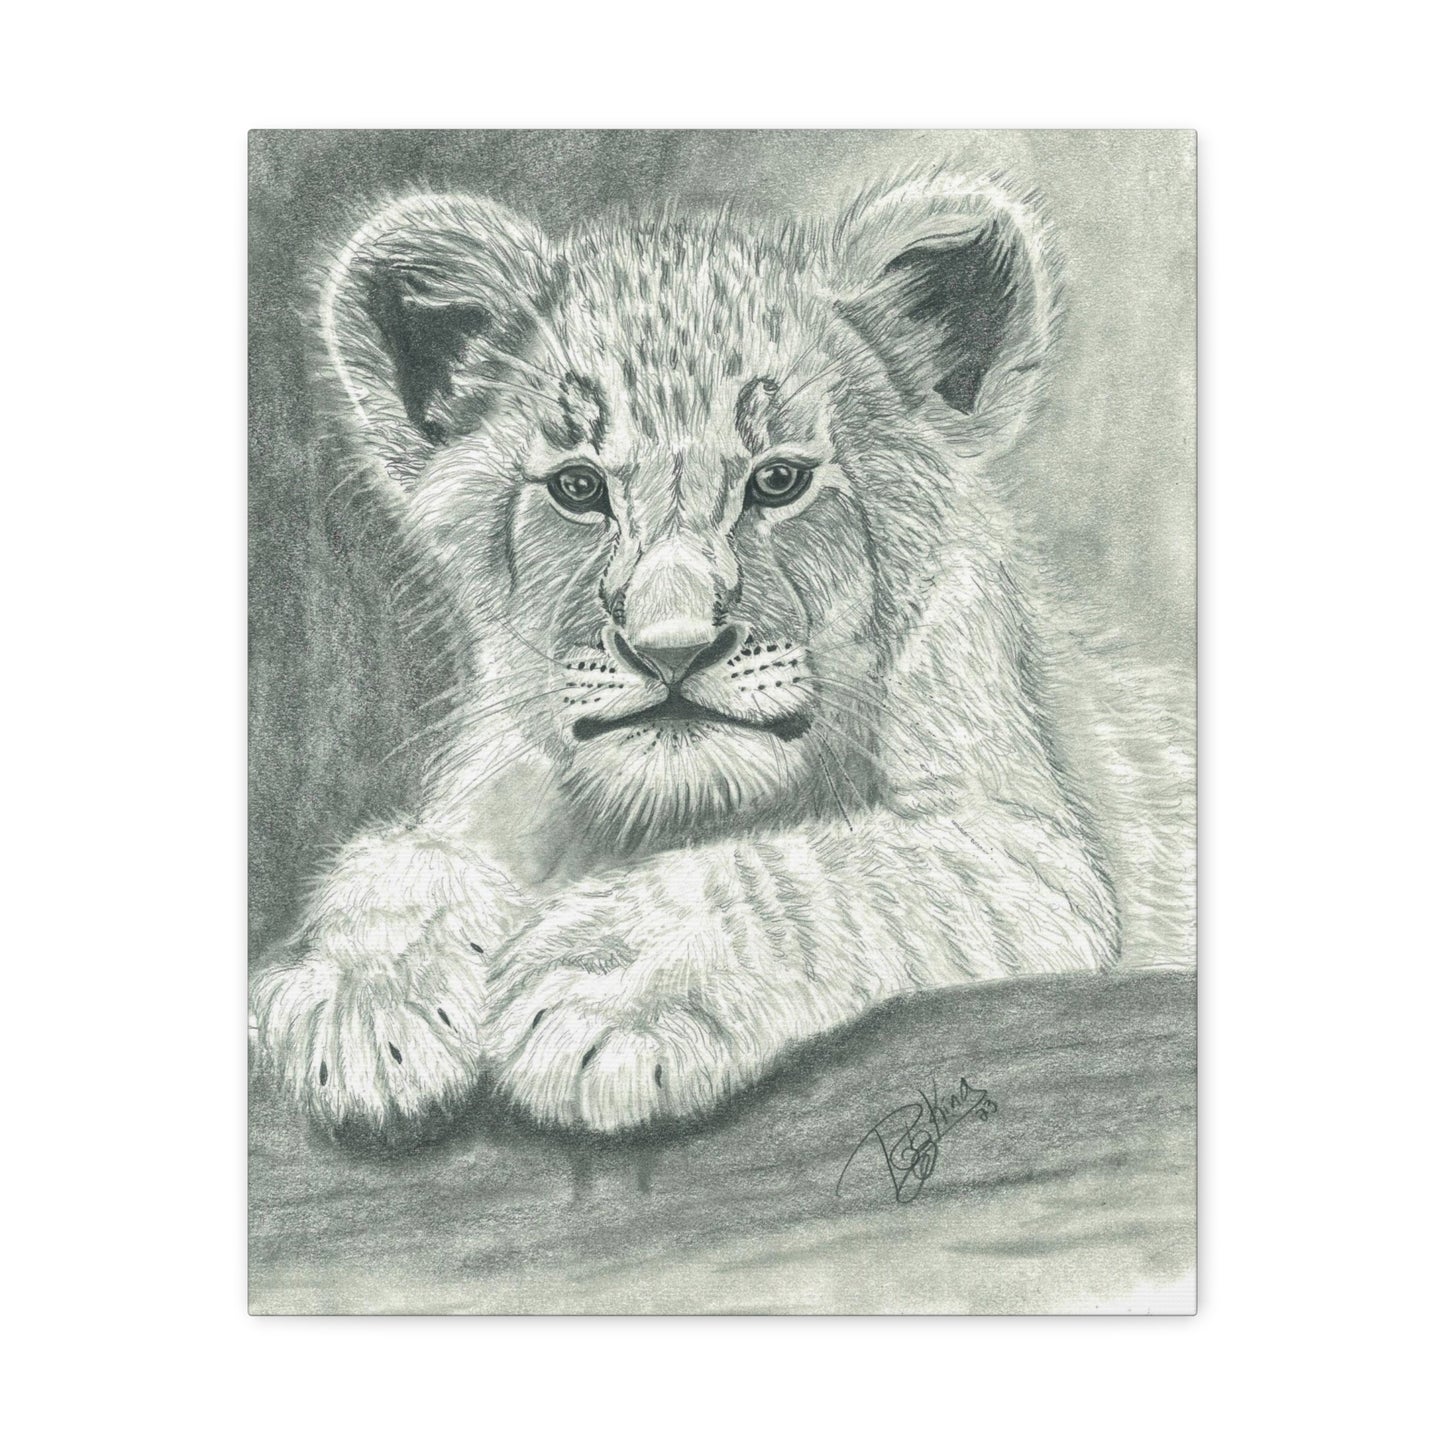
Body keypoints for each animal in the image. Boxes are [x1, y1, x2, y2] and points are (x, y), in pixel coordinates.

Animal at [250, 168, 1194, 1138]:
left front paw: (609, 980)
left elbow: (818, 870)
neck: (674, 813)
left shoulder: (1036, 865)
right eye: (578, 488)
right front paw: (365, 999)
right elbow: (401, 865)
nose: (671, 649)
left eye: (777, 480)